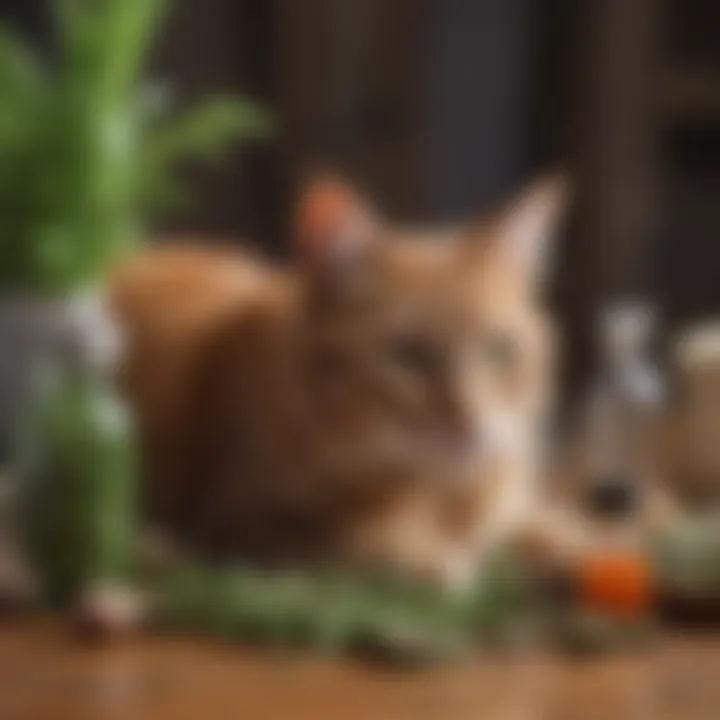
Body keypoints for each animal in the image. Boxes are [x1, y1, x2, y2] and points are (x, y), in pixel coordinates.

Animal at [111, 176, 568, 592]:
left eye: (499, 348)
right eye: (408, 354)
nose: (469, 421)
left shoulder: (513, 504)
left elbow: (553, 527)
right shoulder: (240, 519)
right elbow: (360, 540)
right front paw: (439, 561)